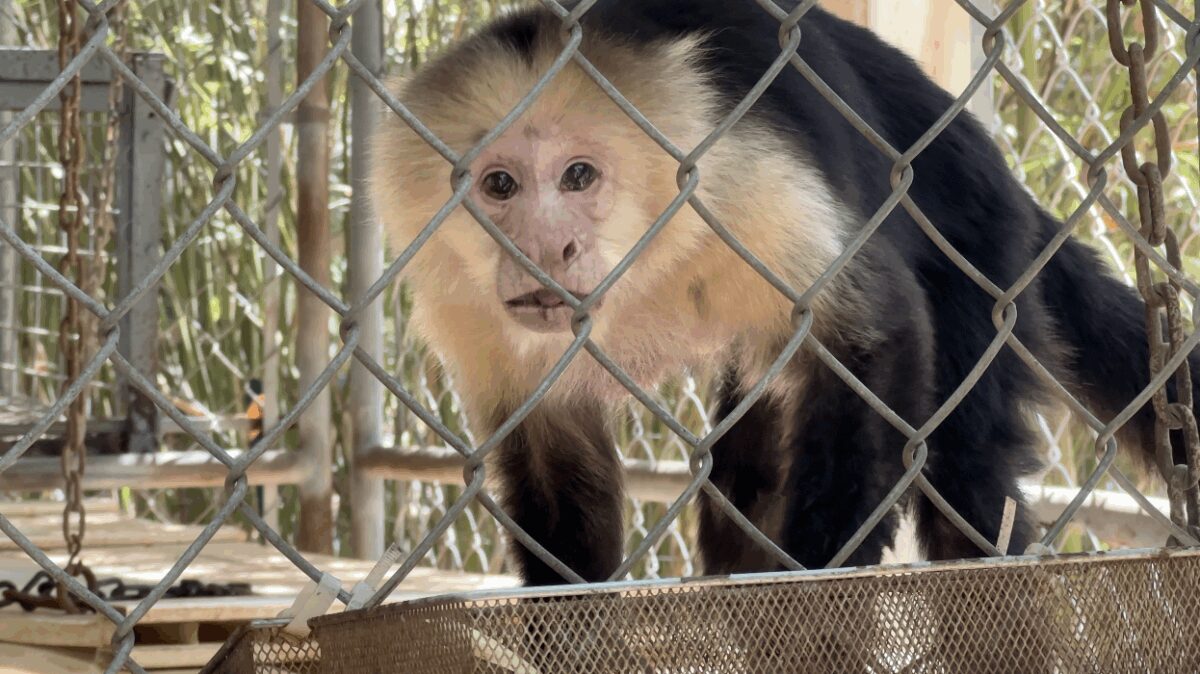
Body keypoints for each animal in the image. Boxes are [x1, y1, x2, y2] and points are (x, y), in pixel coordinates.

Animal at [370, 0, 1195, 617]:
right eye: (499, 186)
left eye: (578, 176)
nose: (551, 248)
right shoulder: (463, 298)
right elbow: (547, 438)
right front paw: (571, 613)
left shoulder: (729, 176)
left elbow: (878, 332)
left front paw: (817, 587)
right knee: (746, 468)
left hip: (981, 246)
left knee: (963, 464)